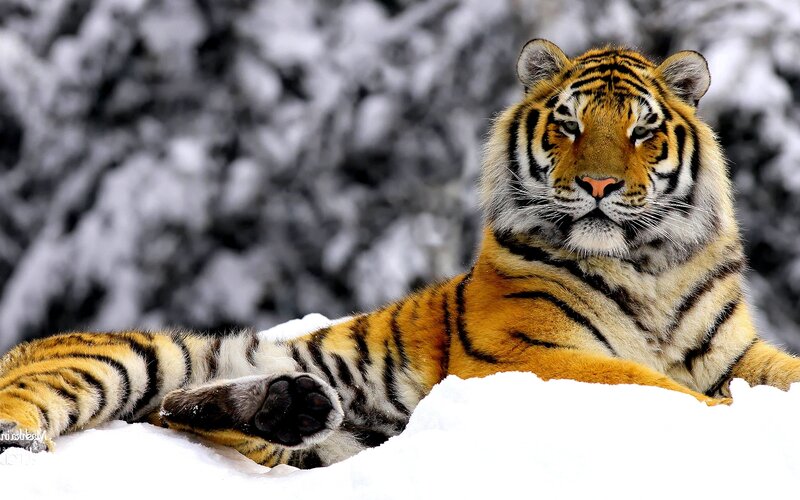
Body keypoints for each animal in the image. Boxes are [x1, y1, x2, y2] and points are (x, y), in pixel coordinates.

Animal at [1, 39, 799, 469]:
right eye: (570, 125)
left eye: (642, 132)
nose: (598, 184)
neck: (648, 268)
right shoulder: (528, 353)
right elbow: (656, 387)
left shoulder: (734, 353)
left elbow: (772, 373)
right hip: (134, 355)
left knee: (185, 413)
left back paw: (289, 404)